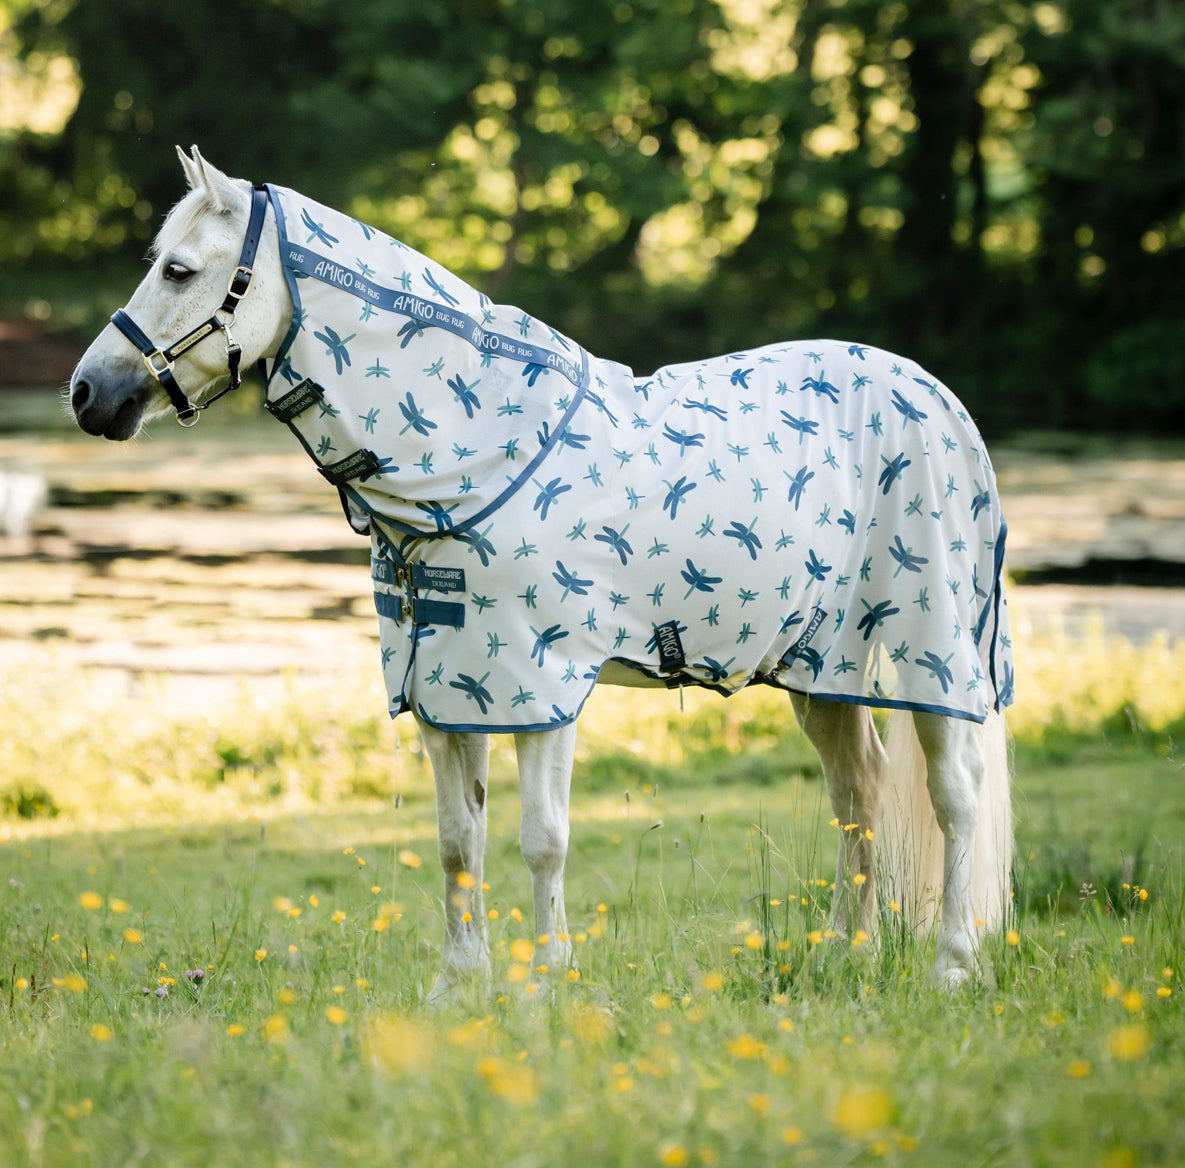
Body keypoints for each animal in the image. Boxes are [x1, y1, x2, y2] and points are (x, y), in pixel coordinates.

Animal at [70, 147, 1014, 995]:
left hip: (930, 654)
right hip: (820, 668)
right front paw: (459, 985)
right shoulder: (444, 690)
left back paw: (952, 966)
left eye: (180, 270)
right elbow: (458, 839)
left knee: (954, 795)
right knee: (858, 792)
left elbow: (542, 837)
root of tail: (938, 399)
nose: (87, 394)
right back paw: (843, 954)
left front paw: (548, 981)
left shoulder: (544, 683)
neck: (477, 455)